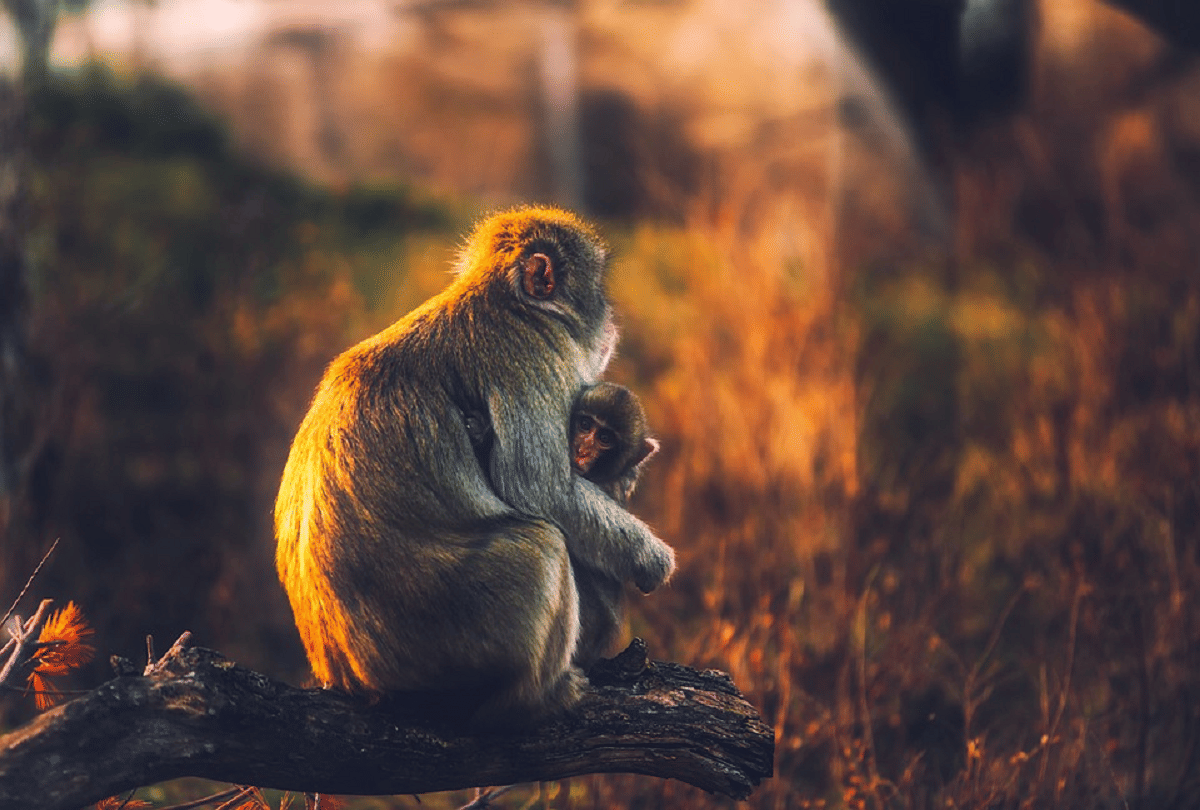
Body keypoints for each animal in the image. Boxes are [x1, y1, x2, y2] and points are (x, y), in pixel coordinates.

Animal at [274, 207, 675, 728]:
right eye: (596, 291)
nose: (611, 325)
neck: (505, 301)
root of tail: (354, 680)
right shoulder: (530, 357)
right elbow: (541, 490)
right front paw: (652, 559)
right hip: (456, 640)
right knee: (543, 543)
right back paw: (535, 698)